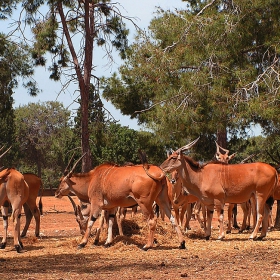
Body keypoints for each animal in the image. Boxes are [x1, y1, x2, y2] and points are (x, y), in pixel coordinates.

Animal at [54, 156, 186, 250]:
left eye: (61, 180)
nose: (56, 193)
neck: (92, 178)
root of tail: (160, 173)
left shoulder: (97, 204)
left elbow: (92, 221)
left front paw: (83, 243)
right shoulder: (111, 207)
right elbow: (110, 221)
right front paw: (107, 242)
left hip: (144, 203)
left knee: (152, 220)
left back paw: (147, 245)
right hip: (162, 200)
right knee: (173, 218)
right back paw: (182, 243)